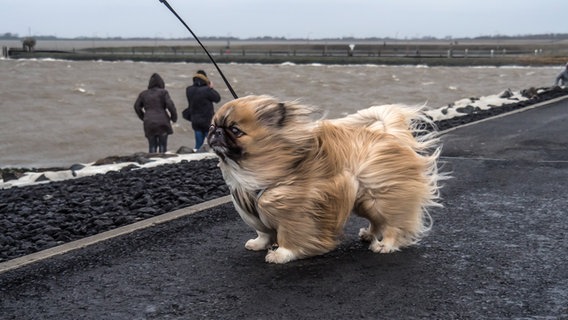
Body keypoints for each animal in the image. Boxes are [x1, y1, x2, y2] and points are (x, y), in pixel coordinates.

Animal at [206, 95, 442, 264]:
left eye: (235, 130)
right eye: (212, 126)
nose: (216, 132)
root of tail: (390, 135)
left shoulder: (294, 211)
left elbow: (290, 236)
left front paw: (281, 254)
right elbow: (263, 232)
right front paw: (258, 244)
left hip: (379, 198)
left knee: (393, 224)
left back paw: (385, 245)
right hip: (365, 201)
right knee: (377, 221)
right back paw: (369, 235)